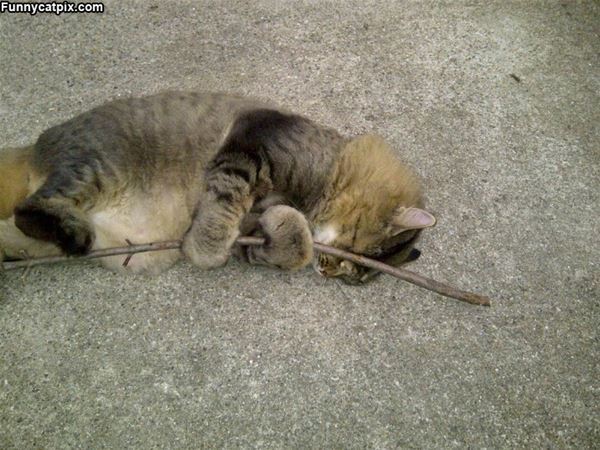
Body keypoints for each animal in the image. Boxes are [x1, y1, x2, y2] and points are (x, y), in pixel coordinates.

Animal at [0, 91, 436, 284]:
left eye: (351, 276)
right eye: (355, 253)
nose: (330, 270)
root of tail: (36, 146)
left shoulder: (251, 228)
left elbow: (286, 243)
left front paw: (284, 239)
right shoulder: (250, 143)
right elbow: (224, 202)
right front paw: (205, 249)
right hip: (96, 168)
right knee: (29, 211)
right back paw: (72, 235)